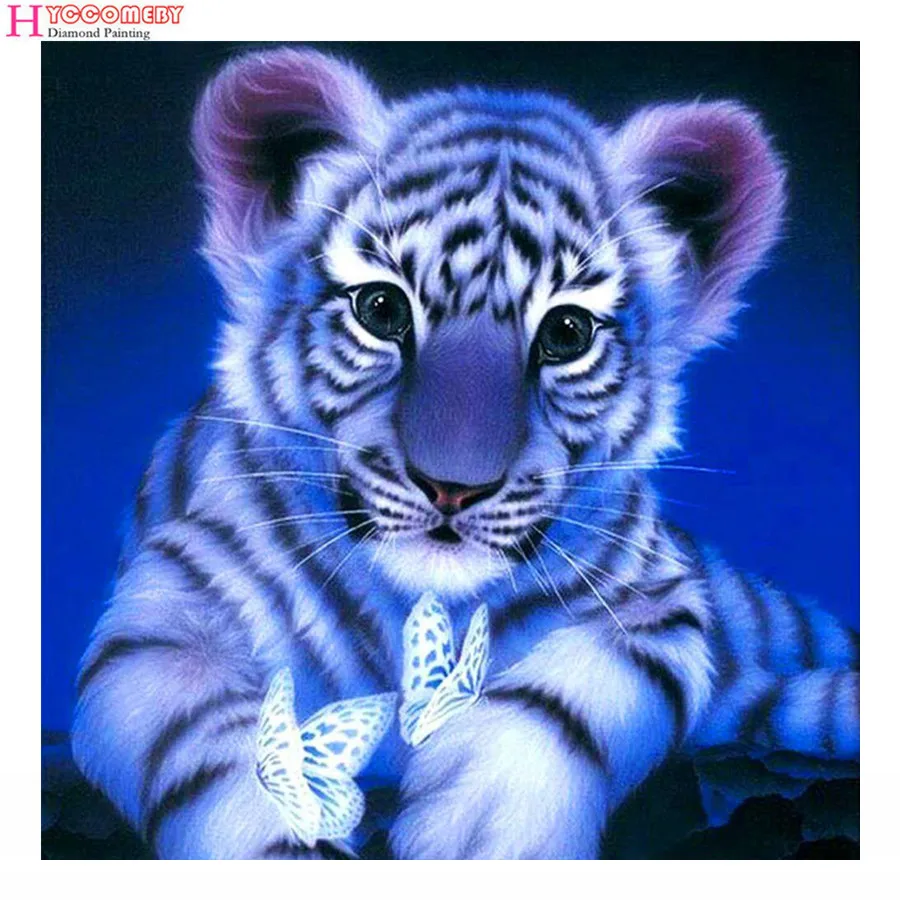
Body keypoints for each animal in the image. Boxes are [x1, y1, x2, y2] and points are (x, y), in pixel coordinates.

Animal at [71, 47, 860, 860]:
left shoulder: (660, 602)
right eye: (380, 309)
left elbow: (568, 696)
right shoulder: (164, 616)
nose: (452, 488)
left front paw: (483, 829)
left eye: (567, 332)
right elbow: (222, 748)